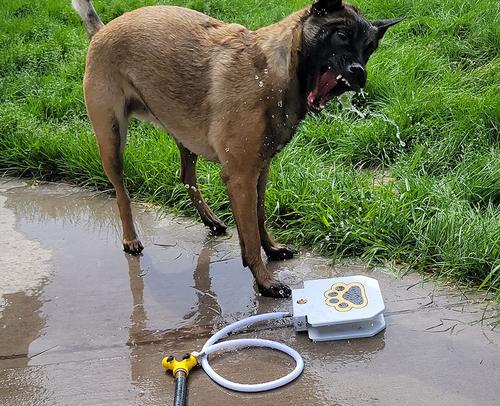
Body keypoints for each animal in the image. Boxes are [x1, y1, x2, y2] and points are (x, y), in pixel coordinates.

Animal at [73, 0, 402, 298]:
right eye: (342, 35)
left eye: (370, 47)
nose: (359, 73)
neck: (272, 71)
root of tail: (102, 30)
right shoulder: (242, 176)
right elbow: (251, 233)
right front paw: (265, 280)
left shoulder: (260, 170)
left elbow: (258, 217)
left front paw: (271, 248)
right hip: (112, 140)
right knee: (122, 193)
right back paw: (130, 239)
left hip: (183, 135)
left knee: (186, 177)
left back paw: (210, 220)